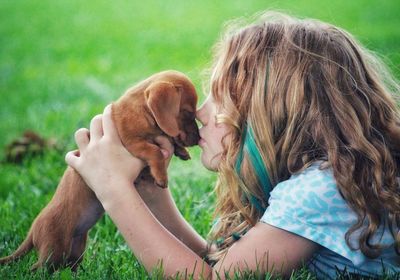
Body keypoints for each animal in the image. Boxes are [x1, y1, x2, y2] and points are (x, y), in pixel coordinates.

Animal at [0, 70, 200, 272]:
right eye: (188, 112)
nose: (198, 138)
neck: (140, 111)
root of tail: (32, 230)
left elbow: (170, 140)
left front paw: (182, 151)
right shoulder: (133, 143)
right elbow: (155, 151)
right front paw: (161, 177)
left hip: (75, 248)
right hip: (53, 249)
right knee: (36, 268)